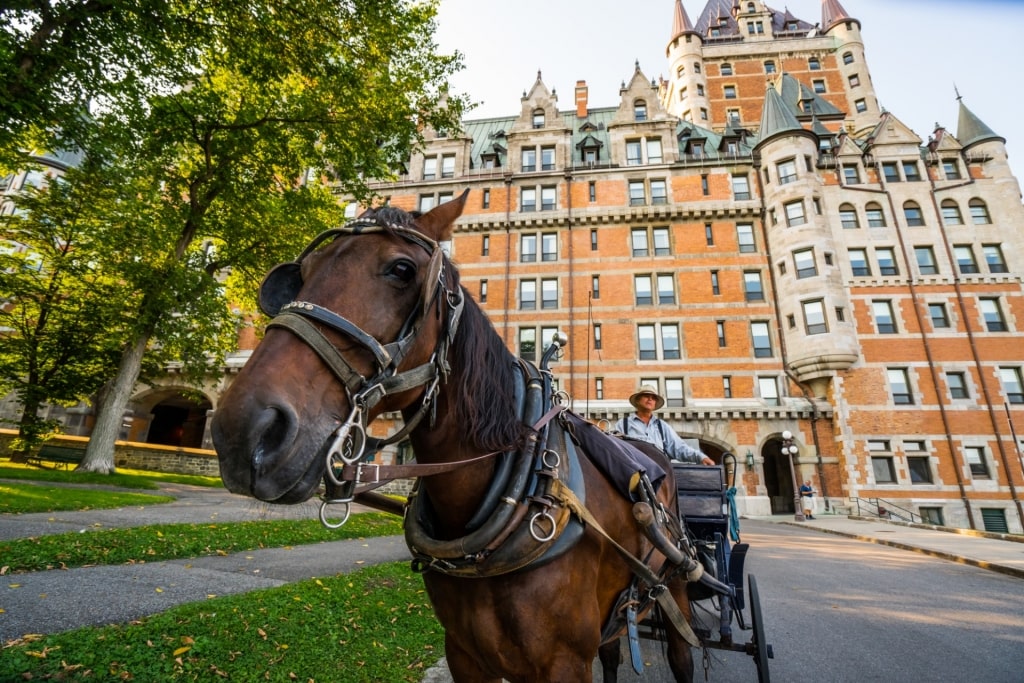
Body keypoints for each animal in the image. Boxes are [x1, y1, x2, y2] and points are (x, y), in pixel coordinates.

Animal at [211, 192, 700, 683]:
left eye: (402, 269)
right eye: (304, 271)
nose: (242, 428)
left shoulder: (565, 663)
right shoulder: (463, 652)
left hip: (677, 587)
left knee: (682, 653)